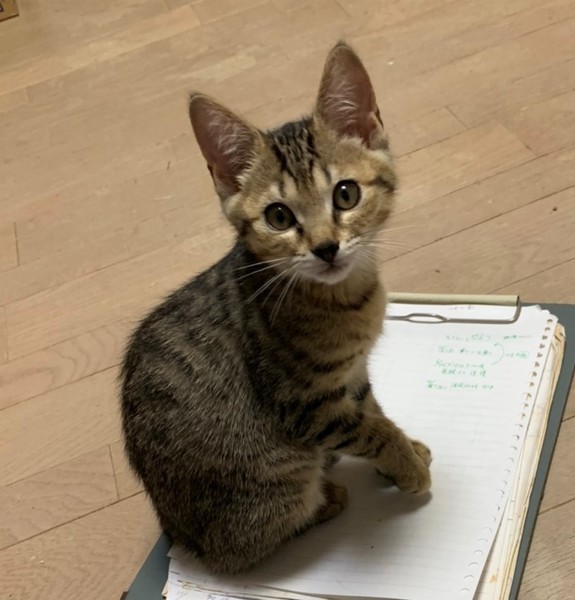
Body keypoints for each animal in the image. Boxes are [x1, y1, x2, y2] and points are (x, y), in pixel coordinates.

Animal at [120, 42, 431, 575]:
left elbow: (373, 410)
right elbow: (367, 428)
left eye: (346, 193)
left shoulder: (350, 376)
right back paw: (325, 500)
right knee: (241, 551)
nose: (326, 248)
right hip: (278, 479)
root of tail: (180, 534)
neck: (346, 296)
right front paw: (405, 464)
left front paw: (404, 450)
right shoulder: (304, 406)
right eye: (279, 217)